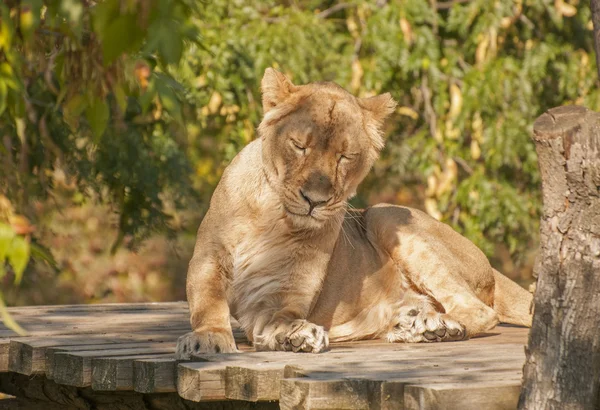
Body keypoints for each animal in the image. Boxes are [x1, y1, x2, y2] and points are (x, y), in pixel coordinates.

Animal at [175, 69, 536, 358]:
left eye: (345, 156)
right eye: (299, 145)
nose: (315, 200)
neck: (271, 216)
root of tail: (491, 268)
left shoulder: (279, 295)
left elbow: (278, 318)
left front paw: (294, 333)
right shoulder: (208, 260)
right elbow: (208, 301)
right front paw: (209, 338)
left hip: (384, 214)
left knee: (478, 310)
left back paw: (432, 328)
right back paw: (413, 325)